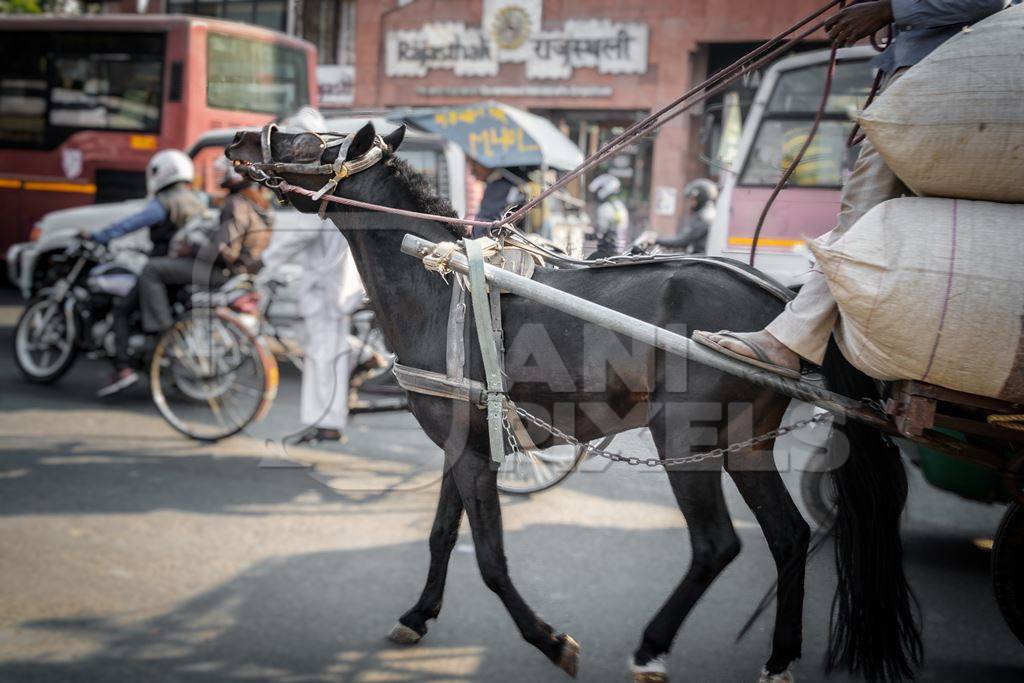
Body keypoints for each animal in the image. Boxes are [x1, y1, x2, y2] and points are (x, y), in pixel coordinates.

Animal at [228, 124, 925, 683]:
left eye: (309, 143)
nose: (242, 138)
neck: (437, 279)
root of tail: (777, 305)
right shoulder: (462, 442)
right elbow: (439, 536)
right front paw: (418, 616)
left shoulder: (477, 454)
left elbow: (490, 560)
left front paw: (549, 639)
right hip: (743, 442)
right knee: (786, 536)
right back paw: (778, 658)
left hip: (685, 437)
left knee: (716, 545)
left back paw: (651, 647)